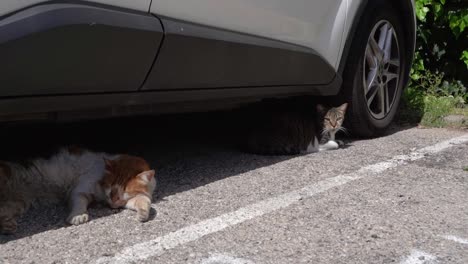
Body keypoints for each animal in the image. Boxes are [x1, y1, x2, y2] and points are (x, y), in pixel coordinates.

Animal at [0, 147, 157, 234]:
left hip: (17, 203)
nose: (112, 201)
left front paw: (143, 214)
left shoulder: (132, 199)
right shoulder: (79, 190)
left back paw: (7, 226)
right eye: (110, 187)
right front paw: (78, 216)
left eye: (124, 192)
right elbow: (79, 203)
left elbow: (144, 200)